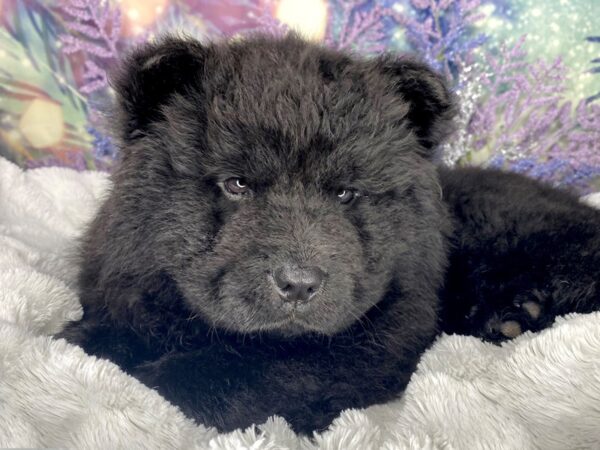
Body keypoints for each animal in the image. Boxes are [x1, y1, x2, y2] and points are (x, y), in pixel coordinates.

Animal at [58, 35, 600, 436]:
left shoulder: (371, 342)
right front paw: (84, 339)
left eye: (345, 193)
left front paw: (149, 376)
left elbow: (236, 374)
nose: (298, 284)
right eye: (236, 184)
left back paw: (512, 315)